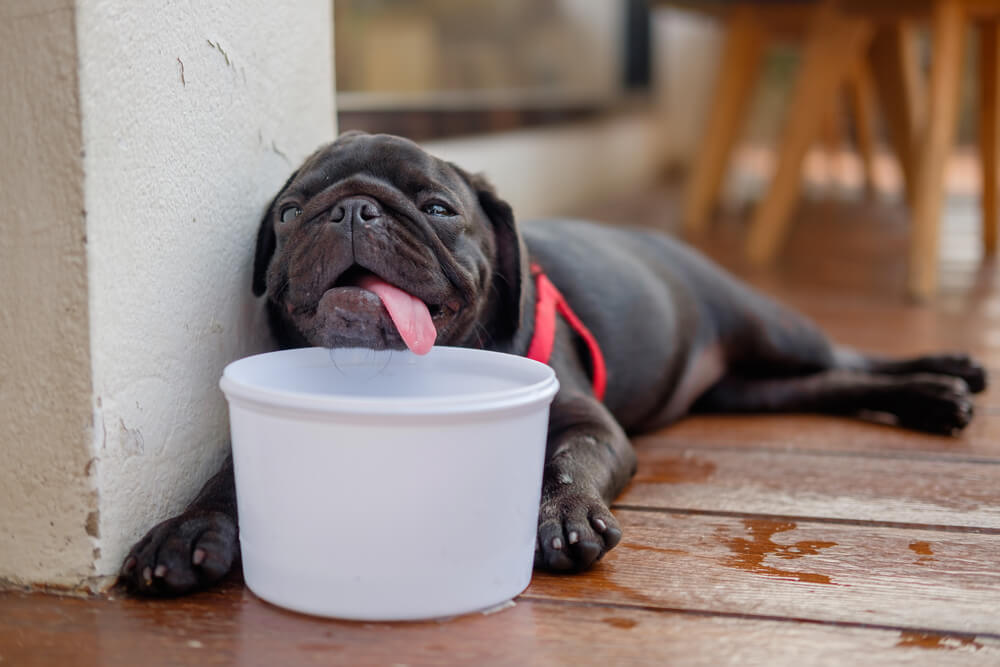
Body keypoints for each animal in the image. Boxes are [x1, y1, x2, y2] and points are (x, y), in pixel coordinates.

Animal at [119, 130, 984, 596]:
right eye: (291, 213)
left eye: (438, 209)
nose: (352, 209)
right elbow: (227, 475)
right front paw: (186, 529)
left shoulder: (584, 421)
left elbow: (566, 460)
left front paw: (563, 514)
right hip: (748, 390)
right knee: (821, 384)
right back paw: (931, 397)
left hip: (771, 326)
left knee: (847, 354)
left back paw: (945, 378)